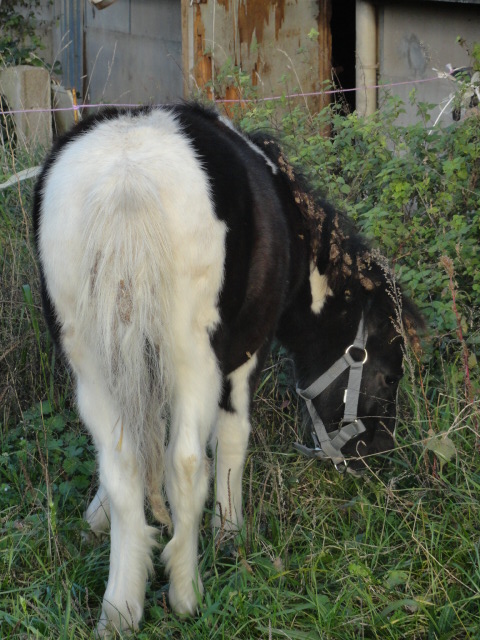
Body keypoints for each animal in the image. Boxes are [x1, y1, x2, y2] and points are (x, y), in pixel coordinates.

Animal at [33, 102, 422, 632]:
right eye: (388, 374)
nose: (376, 452)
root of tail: (127, 175)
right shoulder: (243, 355)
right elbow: (232, 437)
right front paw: (229, 530)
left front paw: (97, 518)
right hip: (192, 361)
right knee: (185, 463)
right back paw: (185, 593)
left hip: (91, 364)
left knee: (122, 466)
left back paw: (120, 609)